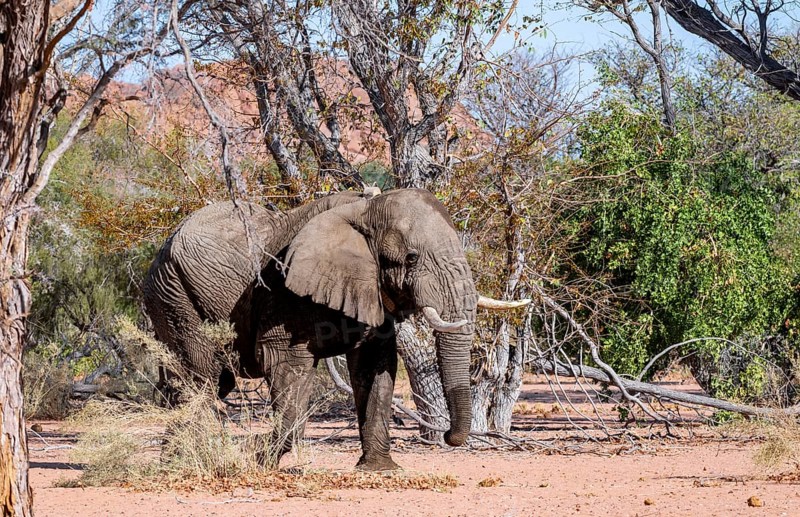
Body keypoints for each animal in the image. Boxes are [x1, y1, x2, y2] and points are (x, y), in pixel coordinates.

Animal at [142, 187, 525, 471]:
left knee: (206, 382)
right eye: (412, 258)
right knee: (201, 378)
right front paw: (256, 460)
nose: (447, 437)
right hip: (173, 293)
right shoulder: (283, 293)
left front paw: (380, 470)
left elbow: (375, 367)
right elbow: (288, 367)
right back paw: (181, 463)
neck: (365, 209)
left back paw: (176, 461)